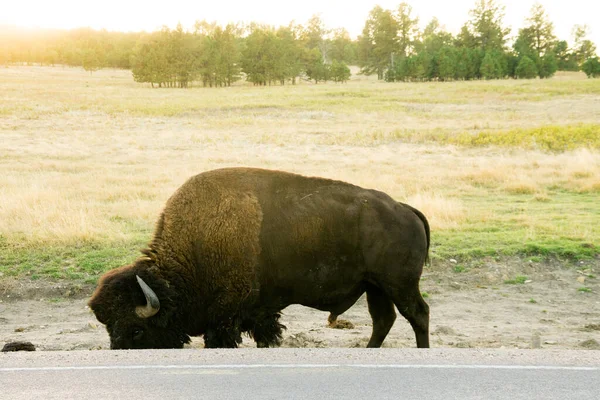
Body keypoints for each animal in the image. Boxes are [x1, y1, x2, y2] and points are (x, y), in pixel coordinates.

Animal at [86, 167, 428, 348]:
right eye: (109, 326)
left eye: (137, 329)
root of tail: (404, 209)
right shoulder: (258, 314)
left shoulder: (226, 318)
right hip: (375, 287)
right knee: (383, 320)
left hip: (398, 284)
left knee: (417, 314)